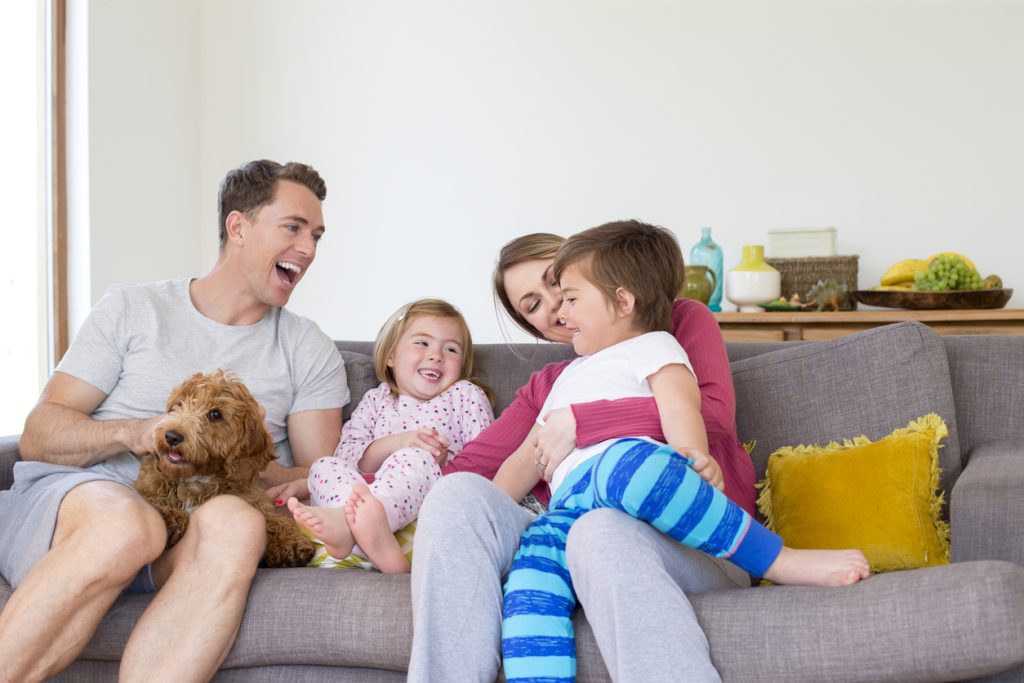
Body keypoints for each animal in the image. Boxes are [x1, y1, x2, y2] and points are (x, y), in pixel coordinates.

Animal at [135, 370, 315, 569]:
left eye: (215, 414)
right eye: (179, 404)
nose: (172, 436)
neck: (197, 478)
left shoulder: (251, 496)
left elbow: (273, 518)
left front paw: (290, 542)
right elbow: (153, 499)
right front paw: (169, 517)